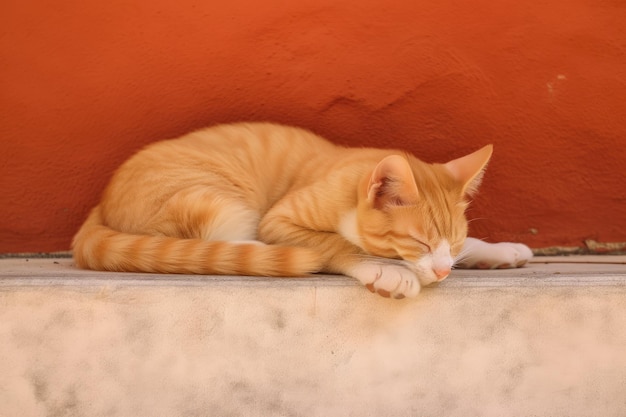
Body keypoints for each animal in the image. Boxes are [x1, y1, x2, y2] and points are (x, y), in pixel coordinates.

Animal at [73, 122, 532, 298]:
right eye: (418, 242)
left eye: (451, 245)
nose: (442, 272)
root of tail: (100, 203)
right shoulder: (278, 221)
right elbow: (334, 245)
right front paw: (389, 269)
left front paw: (499, 250)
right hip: (214, 202)